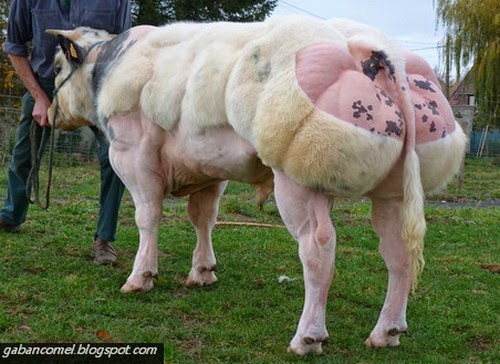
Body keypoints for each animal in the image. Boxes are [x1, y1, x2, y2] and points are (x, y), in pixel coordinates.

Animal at [47, 15, 464, 354]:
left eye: (56, 65)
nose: (48, 114)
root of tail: (375, 47)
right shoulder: (208, 167)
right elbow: (204, 218)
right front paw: (203, 273)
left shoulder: (133, 156)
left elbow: (147, 218)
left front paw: (140, 278)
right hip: (393, 191)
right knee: (397, 252)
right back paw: (386, 332)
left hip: (298, 179)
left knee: (318, 247)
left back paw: (308, 337)